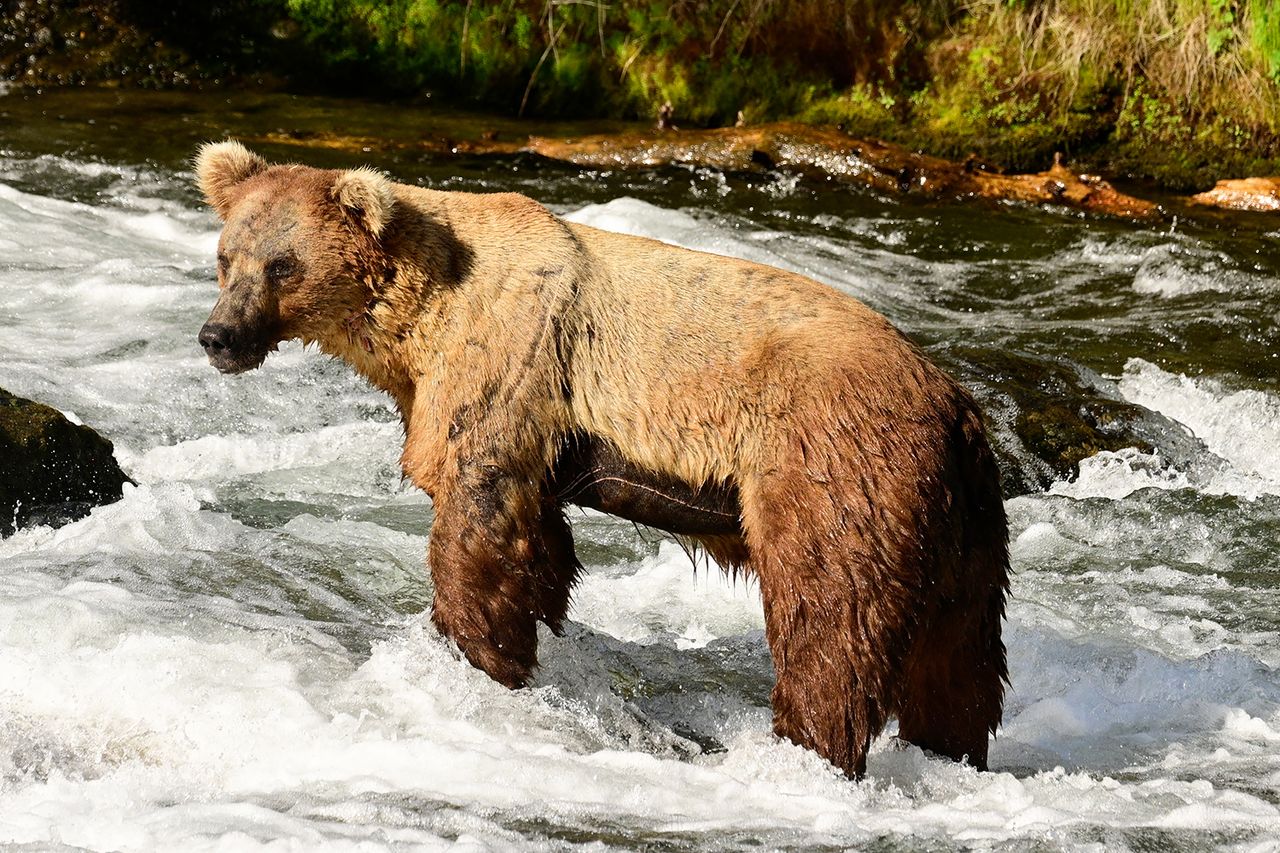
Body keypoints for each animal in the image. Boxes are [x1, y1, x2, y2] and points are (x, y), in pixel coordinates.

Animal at [194, 140, 1010, 779]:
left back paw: (807, 747)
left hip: (834, 460)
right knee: (960, 655)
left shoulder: (508, 360)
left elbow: (476, 517)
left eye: (282, 265)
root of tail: (954, 402)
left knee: (833, 614)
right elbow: (539, 544)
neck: (416, 323)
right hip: (961, 517)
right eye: (225, 258)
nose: (217, 336)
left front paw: (474, 654)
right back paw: (950, 749)